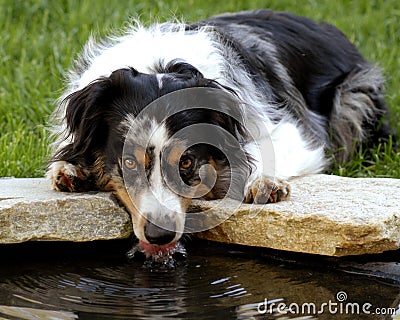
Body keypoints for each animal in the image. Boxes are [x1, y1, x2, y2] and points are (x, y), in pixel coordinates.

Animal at [47, 10, 394, 258]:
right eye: (128, 163)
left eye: (186, 163)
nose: (160, 236)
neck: (160, 64)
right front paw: (69, 170)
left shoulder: (291, 130)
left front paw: (263, 182)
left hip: (355, 96)